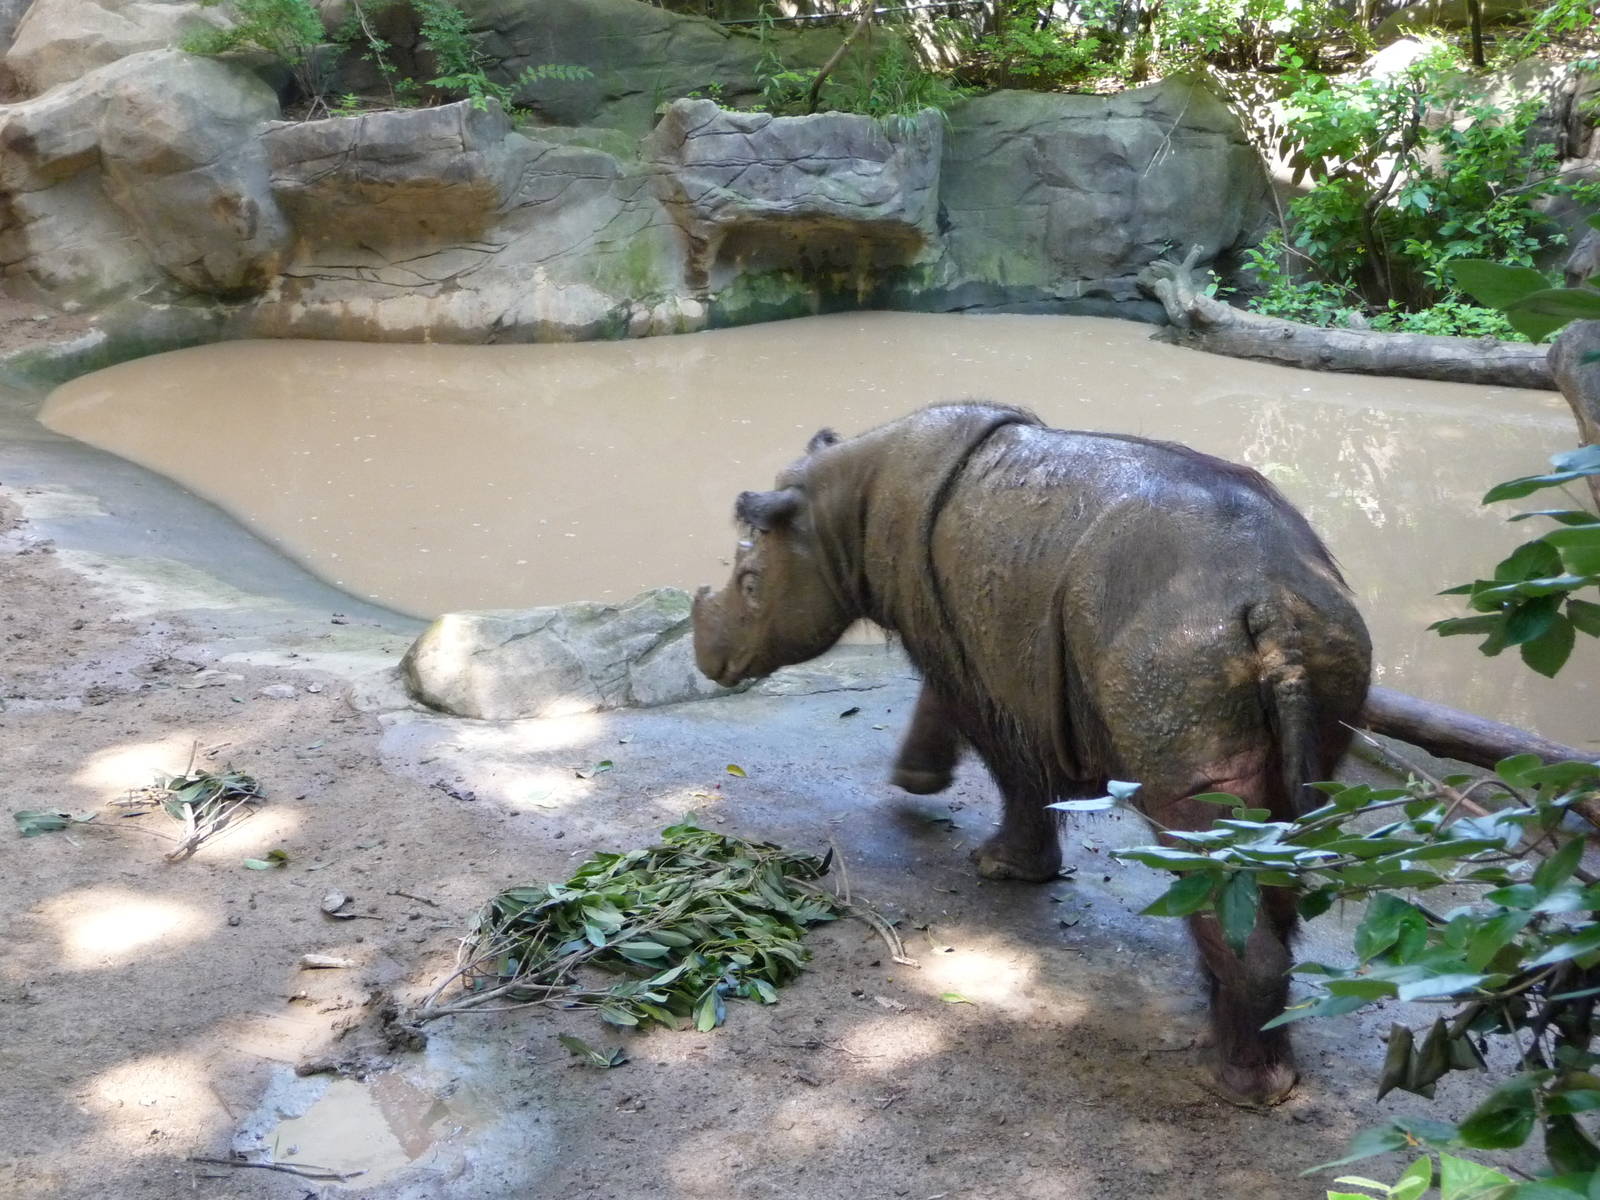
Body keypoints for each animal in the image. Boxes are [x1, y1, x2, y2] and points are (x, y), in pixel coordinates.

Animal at [692, 402, 1371, 1105]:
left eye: (749, 585)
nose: (708, 661)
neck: (835, 508)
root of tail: (1273, 604)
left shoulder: (964, 654)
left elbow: (1004, 757)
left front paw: (997, 864)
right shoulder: (969, 641)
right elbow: (953, 713)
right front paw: (921, 786)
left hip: (1178, 655)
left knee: (1201, 834)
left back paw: (1232, 1085)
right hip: (1324, 642)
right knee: (1274, 835)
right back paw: (1246, 1049)